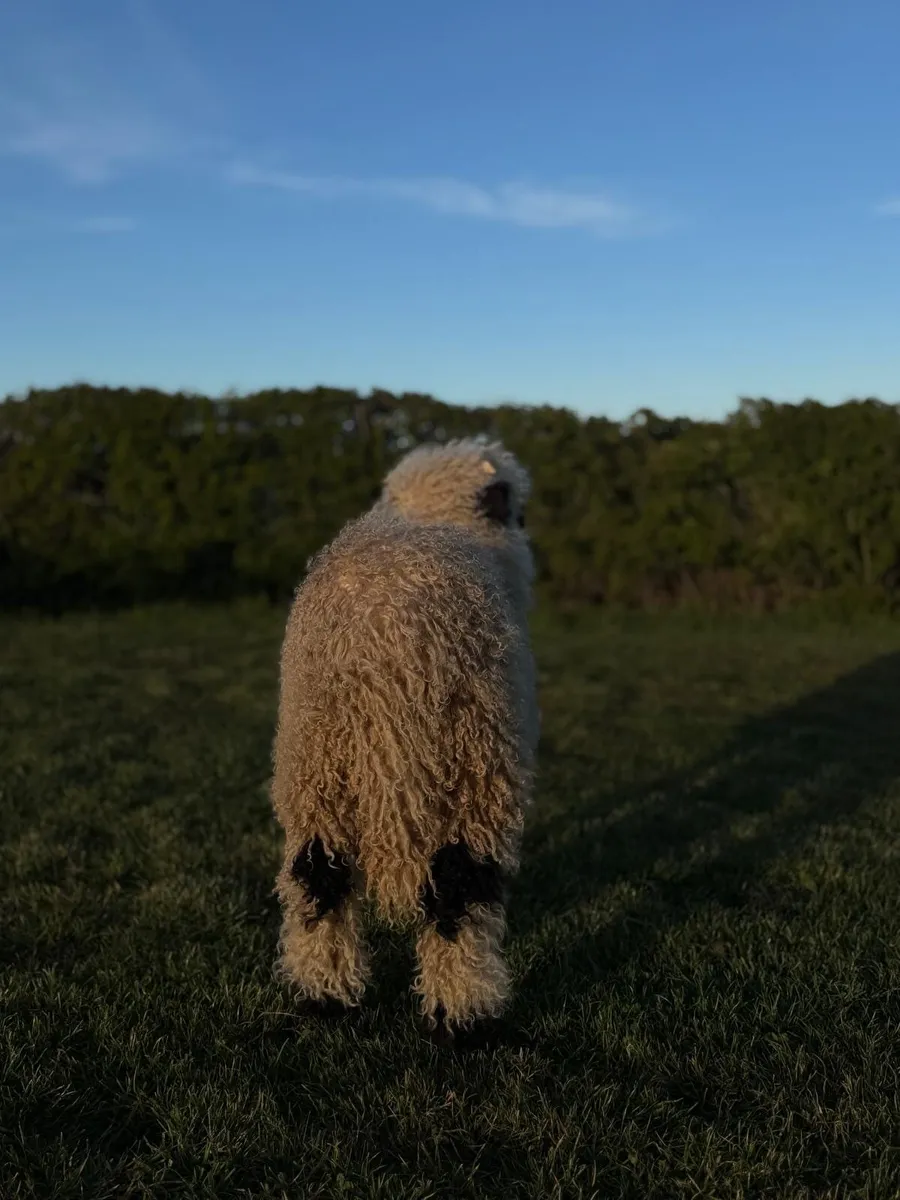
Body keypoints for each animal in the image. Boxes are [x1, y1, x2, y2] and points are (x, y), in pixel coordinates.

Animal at [270, 436, 539, 1037]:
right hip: (474, 759)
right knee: (460, 888)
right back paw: (466, 1017)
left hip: (313, 760)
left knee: (318, 877)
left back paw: (324, 997)